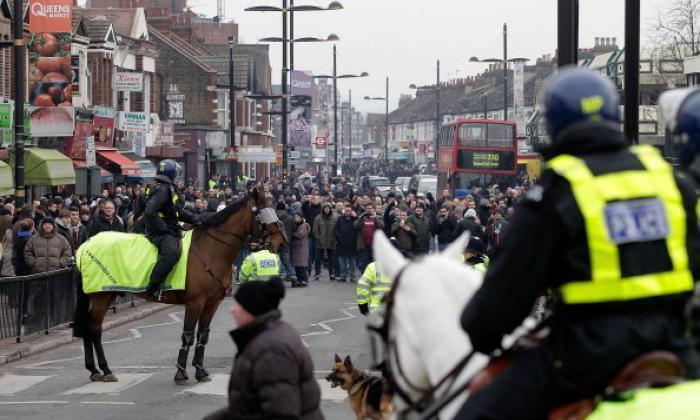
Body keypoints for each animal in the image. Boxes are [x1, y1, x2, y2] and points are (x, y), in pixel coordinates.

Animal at [72, 189, 286, 384]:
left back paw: (95, 370)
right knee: (94, 328)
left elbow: (202, 336)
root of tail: (86, 244)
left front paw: (200, 370)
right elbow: (187, 336)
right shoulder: (195, 303)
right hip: (101, 295)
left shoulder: (211, 304)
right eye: (262, 214)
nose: (282, 243)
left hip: (106, 294)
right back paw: (104, 369)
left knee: (91, 327)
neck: (209, 250)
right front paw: (181, 372)